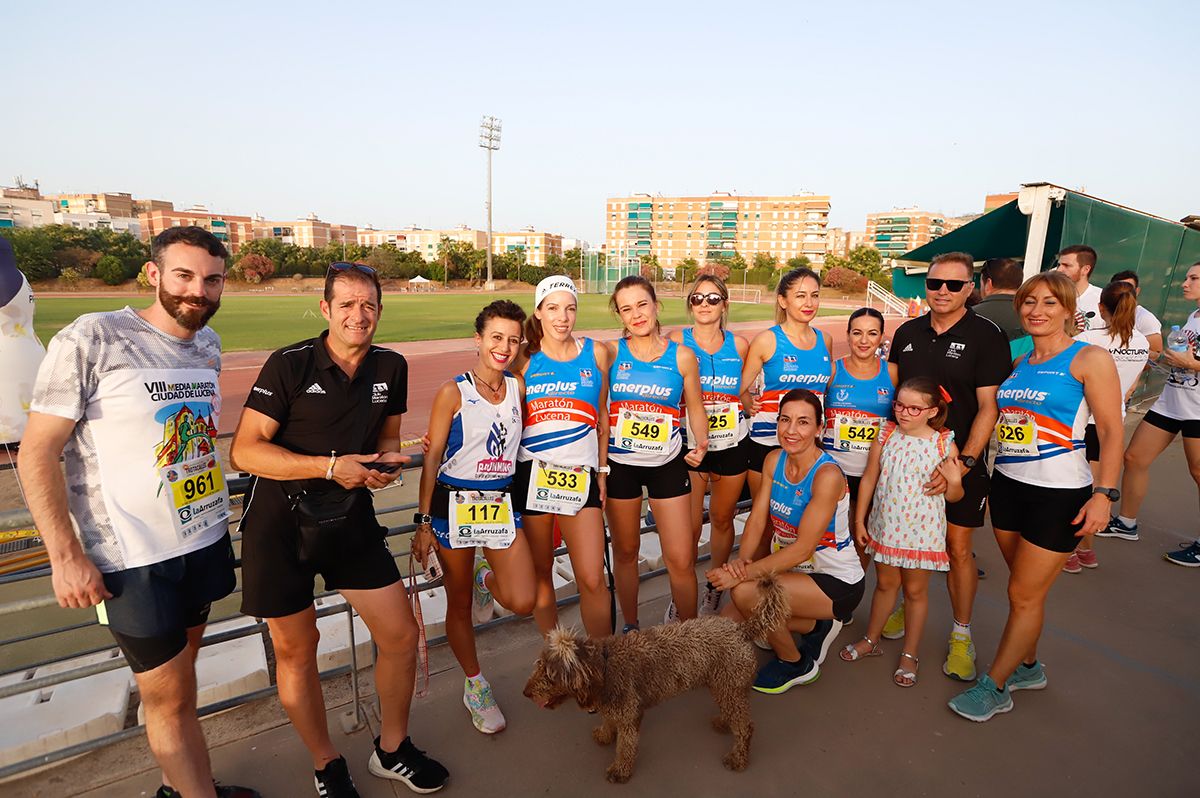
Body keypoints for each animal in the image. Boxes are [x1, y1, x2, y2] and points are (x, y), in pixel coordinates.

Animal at [523, 573, 787, 782]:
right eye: (538, 666)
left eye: (550, 675)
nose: (525, 693)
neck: (604, 667)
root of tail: (740, 630)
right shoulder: (612, 706)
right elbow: (608, 721)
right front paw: (605, 734)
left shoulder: (629, 716)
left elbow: (625, 747)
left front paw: (620, 770)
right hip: (724, 686)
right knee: (733, 712)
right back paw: (724, 722)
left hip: (729, 687)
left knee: (745, 727)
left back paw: (738, 758)